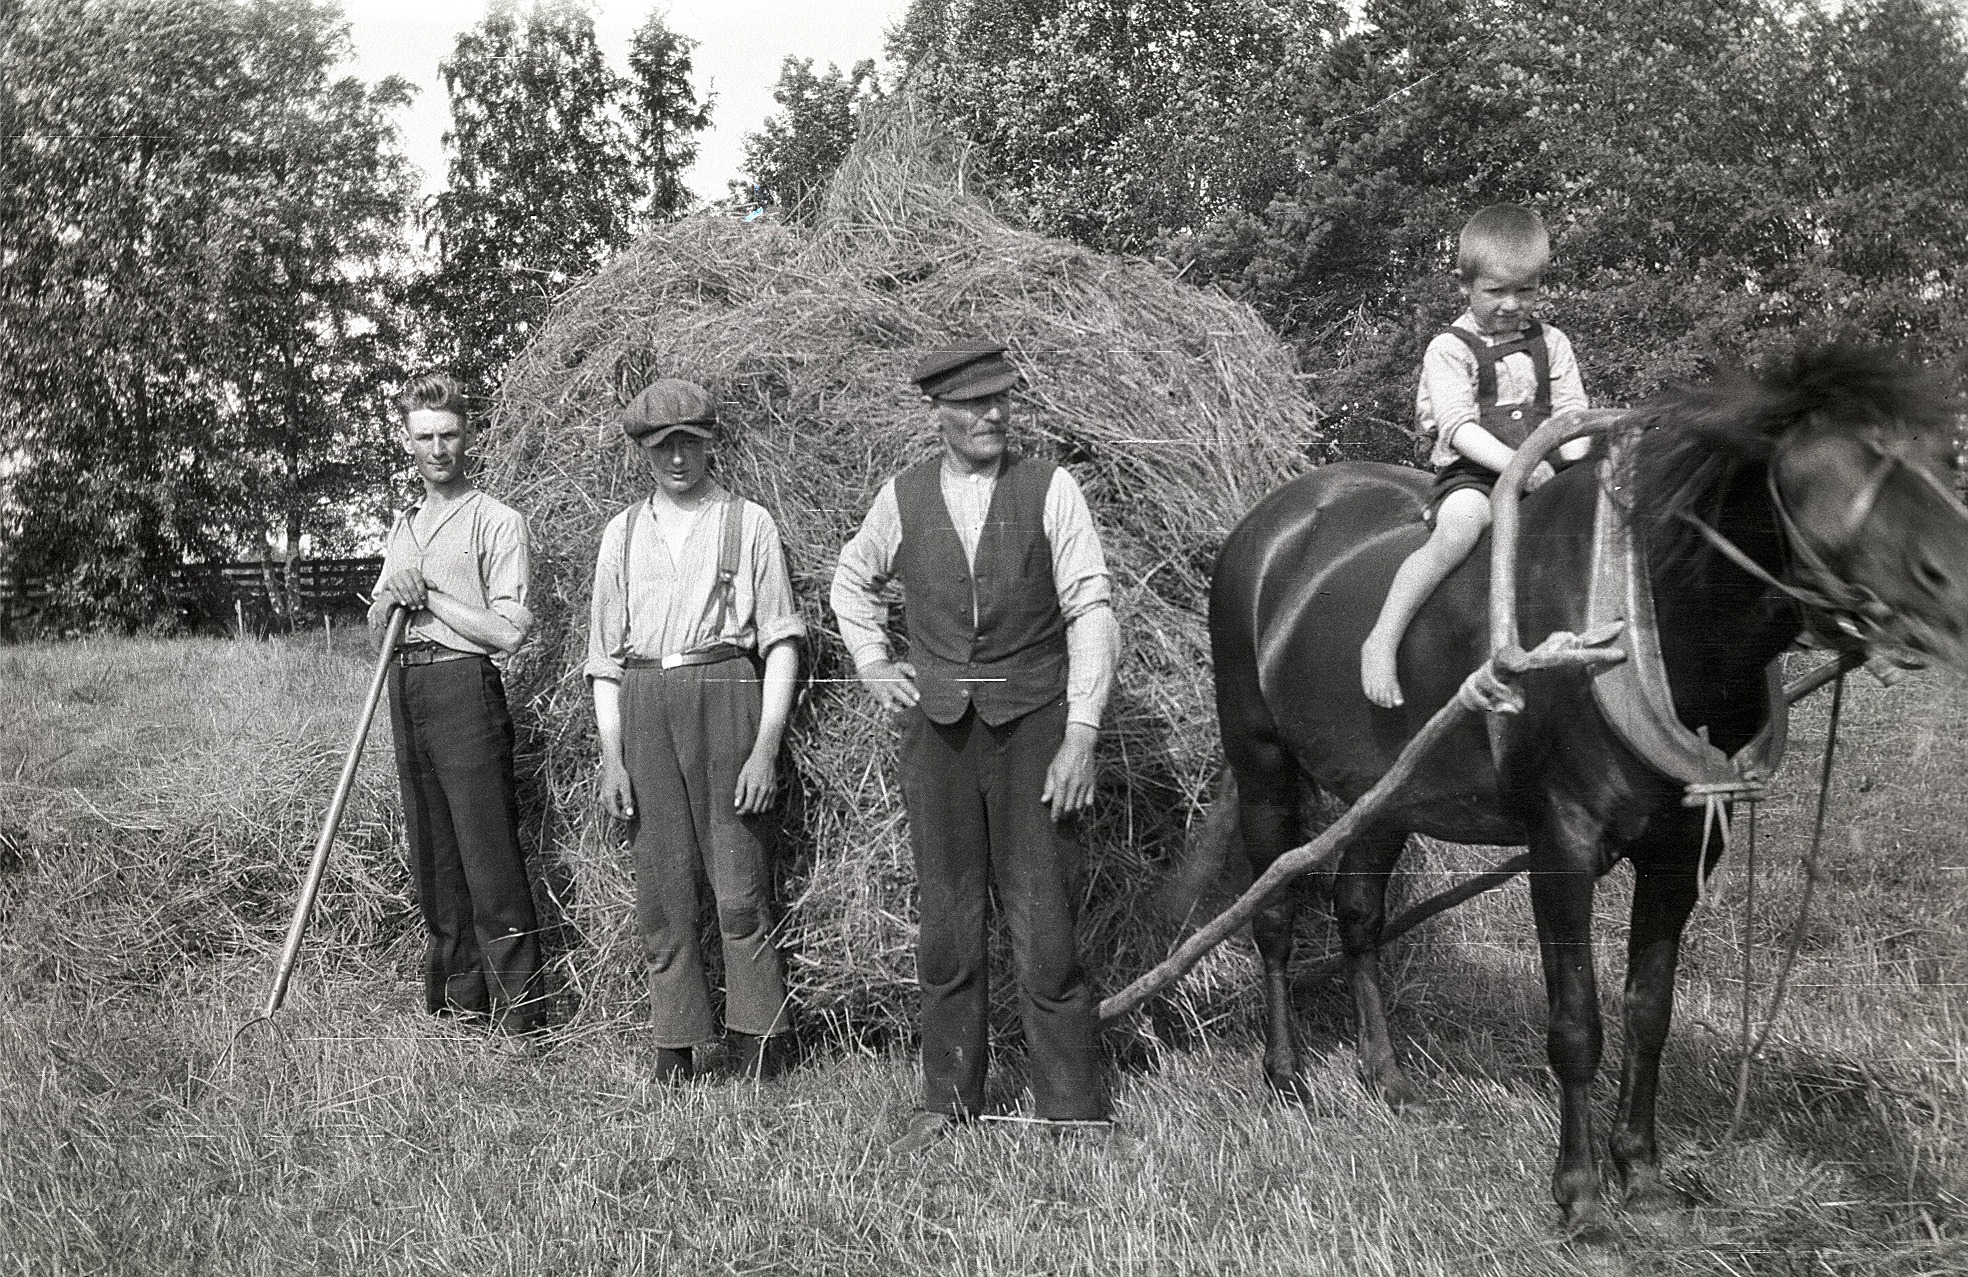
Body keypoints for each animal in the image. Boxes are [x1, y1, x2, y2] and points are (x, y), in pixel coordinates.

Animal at [1204, 348, 1968, 1227]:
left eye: (1947, 454)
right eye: (1842, 464)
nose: (1956, 590)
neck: (1642, 621)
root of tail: (1270, 523)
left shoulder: (1681, 854)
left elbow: (1648, 1011)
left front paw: (1642, 1169)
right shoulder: (1560, 848)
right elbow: (1576, 1022)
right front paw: (1581, 1195)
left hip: (1384, 792)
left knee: (1360, 914)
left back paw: (1386, 1075)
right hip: (1263, 766)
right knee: (1274, 915)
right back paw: (1286, 1073)